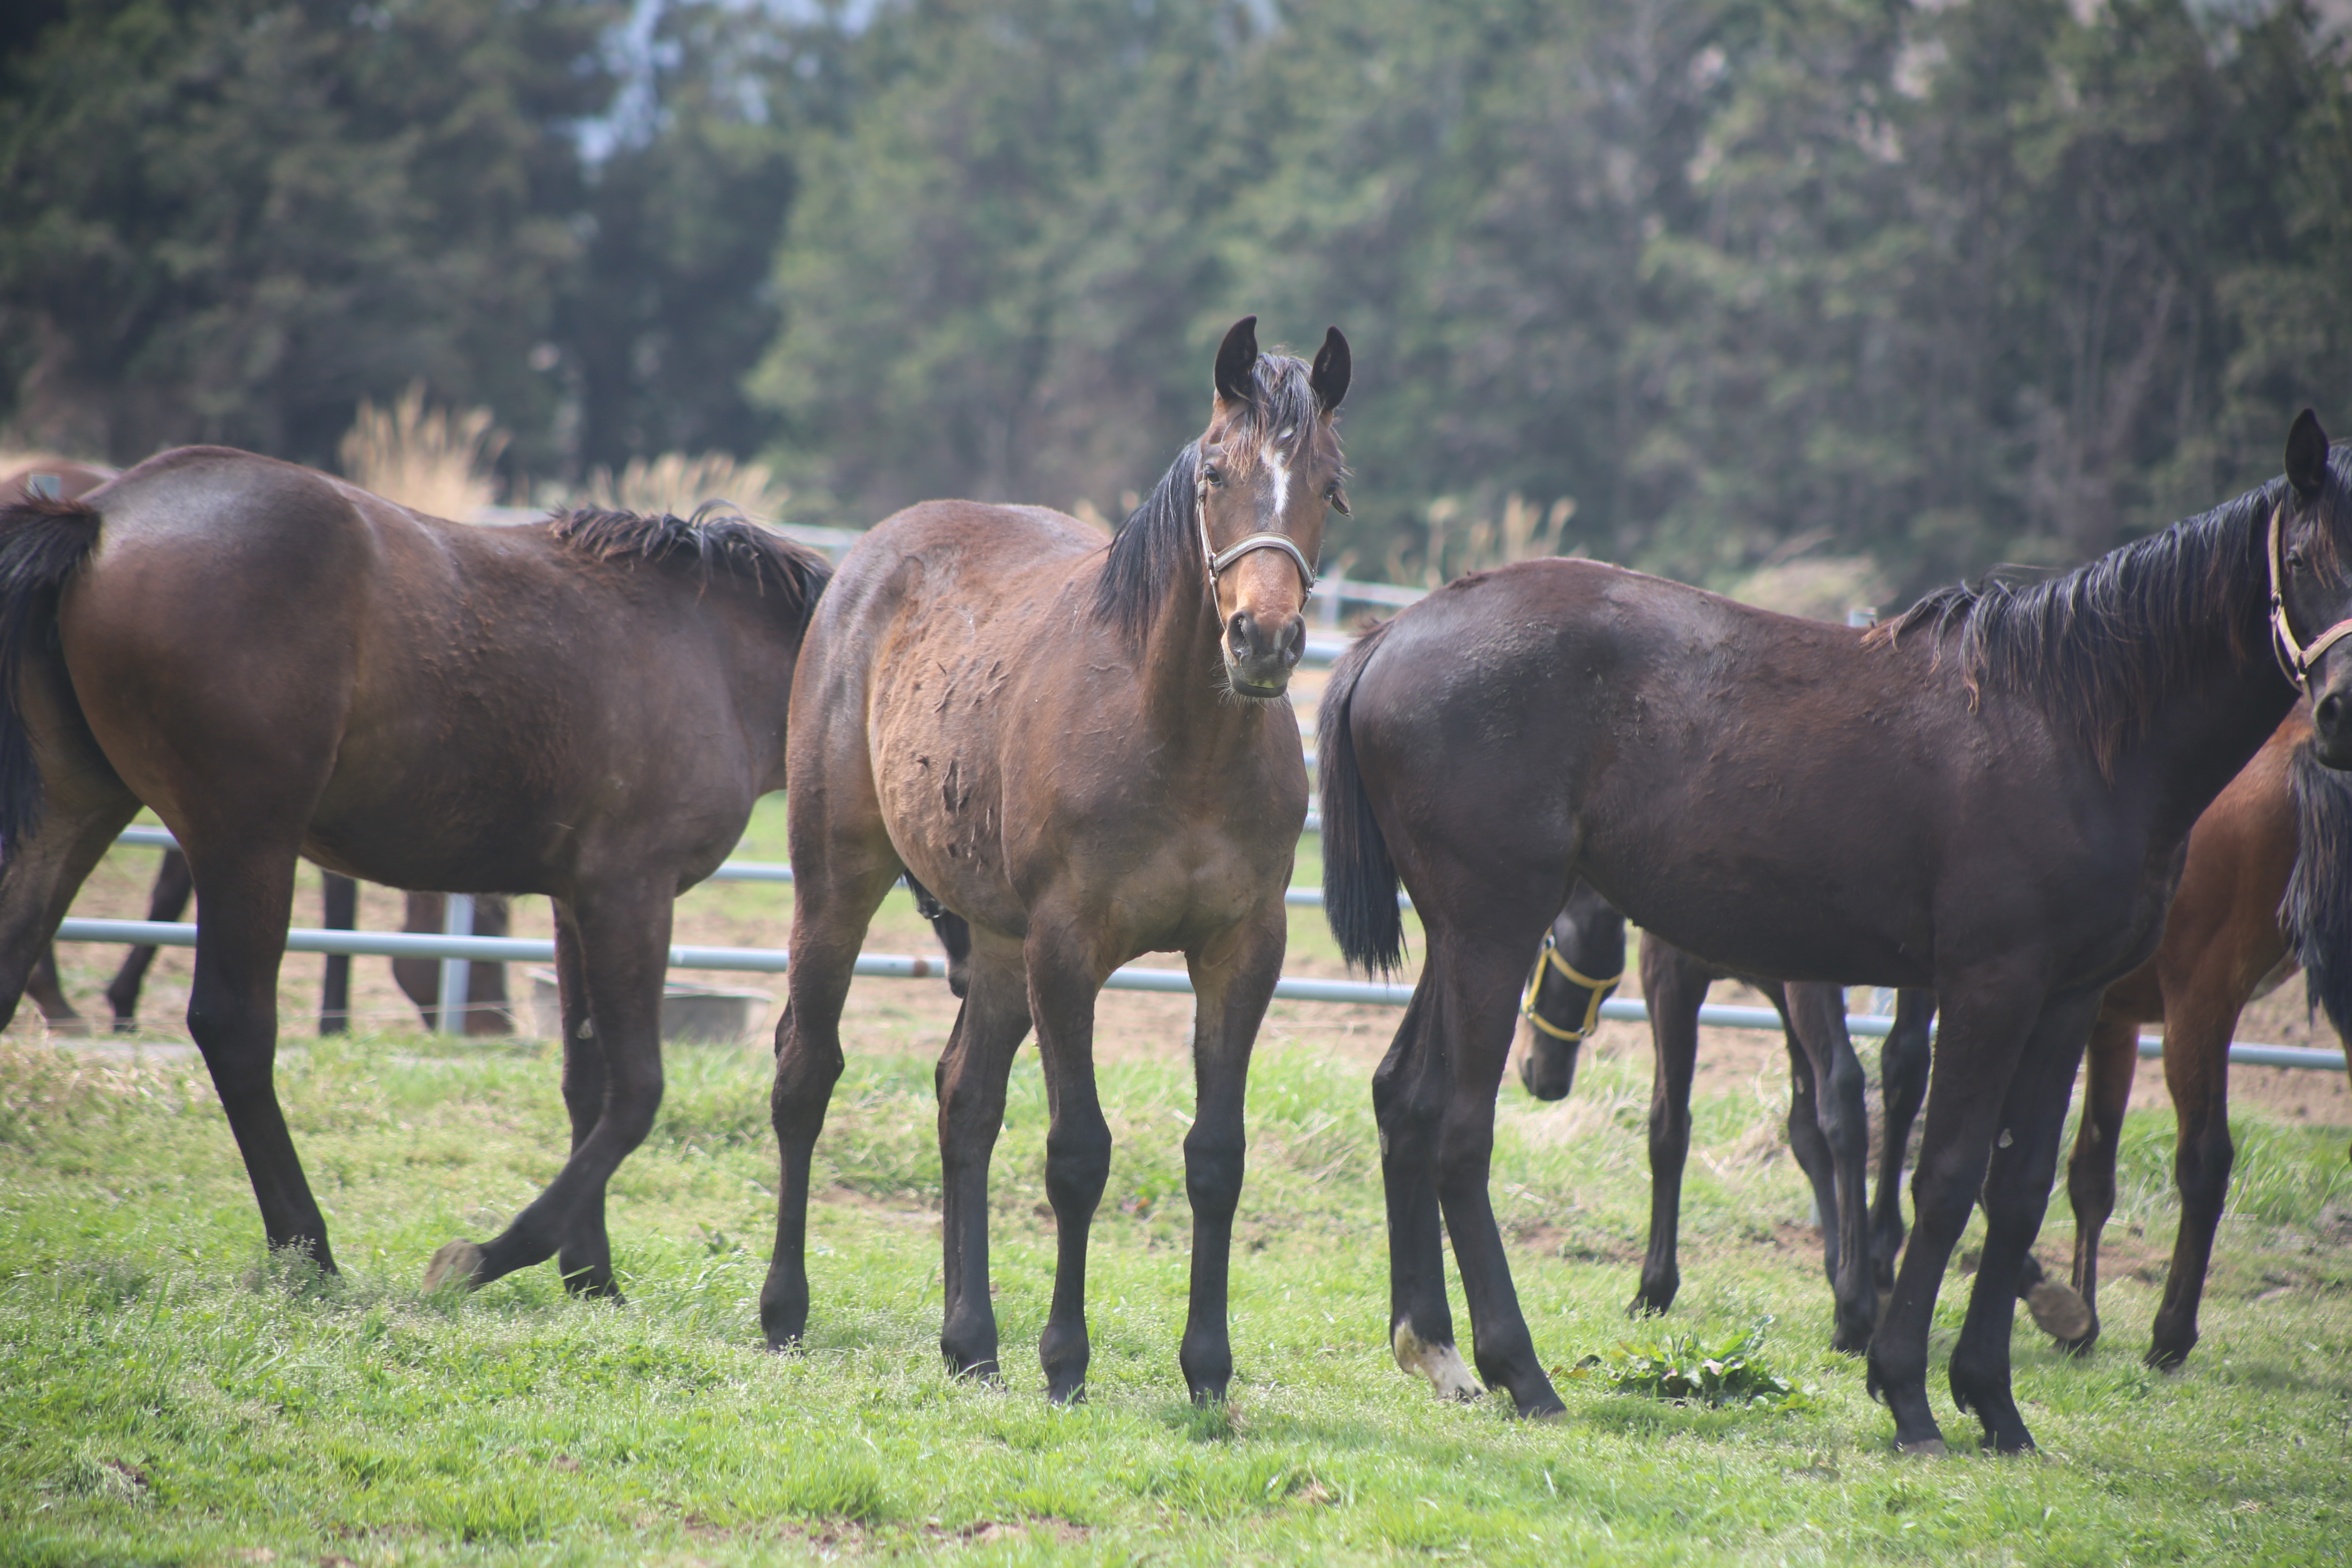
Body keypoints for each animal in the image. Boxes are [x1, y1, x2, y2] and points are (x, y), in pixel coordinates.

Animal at [0, 446, 828, 1297]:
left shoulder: (578, 901)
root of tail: (104, 513)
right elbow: (635, 1093)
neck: (714, 649)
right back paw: (310, 1249)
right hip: (245, 838)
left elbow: (586, 1083)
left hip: (77, 814)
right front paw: (493, 1256)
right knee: (234, 1028)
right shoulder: (631, 892)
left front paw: (592, 1278)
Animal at [766, 315, 1354, 1401]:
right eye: (1215, 472)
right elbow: (1078, 1153)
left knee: (963, 1098)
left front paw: (1207, 1367)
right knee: (805, 1071)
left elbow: (1216, 1155)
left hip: (996, 945)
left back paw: (969, 1340)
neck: (1176, 739)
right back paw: (784, 1310)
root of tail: (862, 563)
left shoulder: (1242, 952)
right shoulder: (1067, 950)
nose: (1261, 639)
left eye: (1329, 485)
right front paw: (1065, 1359)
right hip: (836, 884)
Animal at [1326, 421, 2352, 1457]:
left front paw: (1994, 1402)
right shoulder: (1989, 985)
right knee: (1461, 1129)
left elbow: (2018, 1185)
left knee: (1406, 1100)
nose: (2339, 710)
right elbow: (1945, 1176)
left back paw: (1435, 1349)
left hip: (1460, 935)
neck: (2075, 728)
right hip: (1495, 929)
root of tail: (1389, 636)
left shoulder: (2069, 1000)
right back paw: (1520, 1370)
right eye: (2305, 558)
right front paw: (1907, 1393)